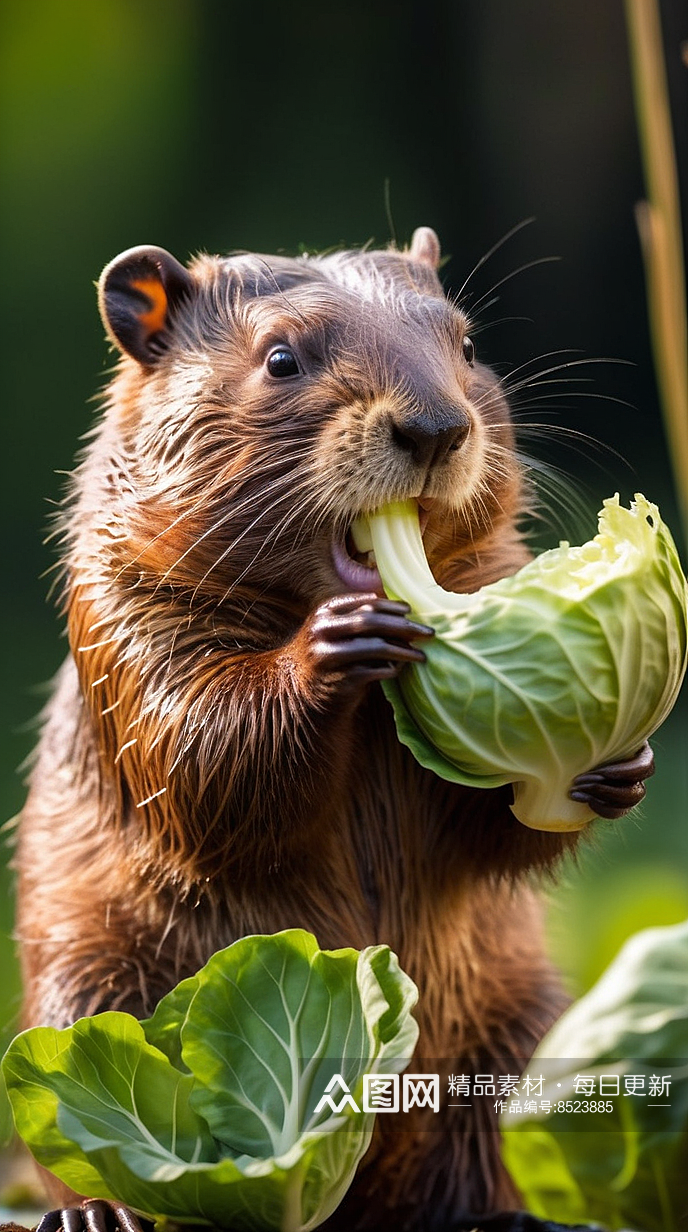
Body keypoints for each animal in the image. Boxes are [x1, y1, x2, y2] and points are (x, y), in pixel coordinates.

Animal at [13, 224, 655, 1232]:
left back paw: (504, 1213)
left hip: (523, 1022)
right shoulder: (122, 616)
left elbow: (483, 831)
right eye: (281, 357)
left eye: (466, 343)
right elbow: (199, 755)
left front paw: (616, 764)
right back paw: (97, 1212)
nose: (434, 429)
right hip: (83, 987)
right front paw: (334, 647)